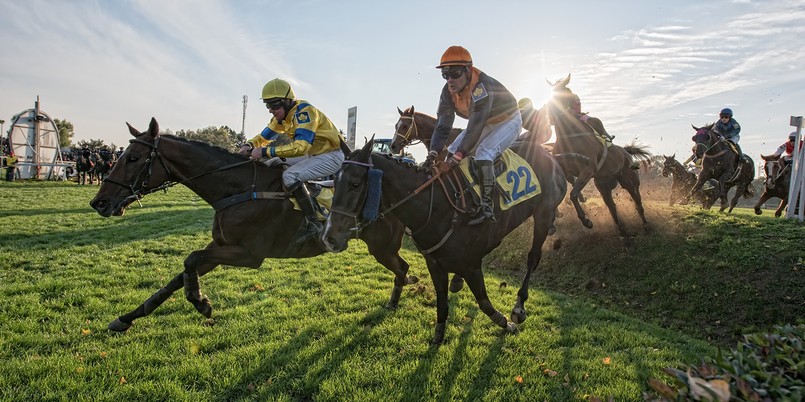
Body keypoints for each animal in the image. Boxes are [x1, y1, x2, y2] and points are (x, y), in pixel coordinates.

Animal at [88, 118, 418, 332]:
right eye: (121, 155)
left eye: (132, 157)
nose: (99, 202)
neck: (237, 188)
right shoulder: (220, 246)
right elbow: (180, 274)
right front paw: (127, 317)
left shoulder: (250, 254)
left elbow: (190, 259)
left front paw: (201, 302)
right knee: (403, 268)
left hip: (381, 246)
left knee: (402, 267)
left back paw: (396, 299)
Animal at [320, 139, 564, 346]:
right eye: (334, 182)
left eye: (355, 184)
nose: (329, 237)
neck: (437, 208)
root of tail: (549, 154)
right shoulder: (435, 263)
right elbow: (442, 304)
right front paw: (438, 336)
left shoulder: (471, 265)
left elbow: (484, 303)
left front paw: (506, 322)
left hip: (544, 212)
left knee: (533, 257)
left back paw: (519, 306)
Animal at [540, 75, 652, 236]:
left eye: (567, 94)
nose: (550, 117)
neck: (569, 136)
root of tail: (625, 152)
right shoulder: (566, 171)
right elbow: (567, 189)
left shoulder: (588, 170)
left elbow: (573, 194)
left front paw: (586, 220)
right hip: (603, 185)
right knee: (612, 206)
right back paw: (621, 230)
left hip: (629, 181)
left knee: (637, 202)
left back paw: (645, 225)